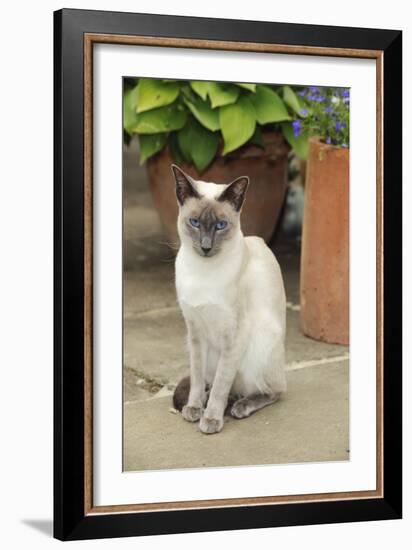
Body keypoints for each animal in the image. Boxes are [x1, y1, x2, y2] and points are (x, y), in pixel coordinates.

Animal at [171, 164, 286, 436]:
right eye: (194, 223)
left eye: (221, 225)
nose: (205, 247)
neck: (203, 272)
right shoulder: (195, 331)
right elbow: (197, 377)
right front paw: (194, 408)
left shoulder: (234, 334)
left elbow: (222, 383)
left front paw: (211, 419)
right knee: (214, 383)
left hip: (259, 346)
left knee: (273, 390)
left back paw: (239, 406)